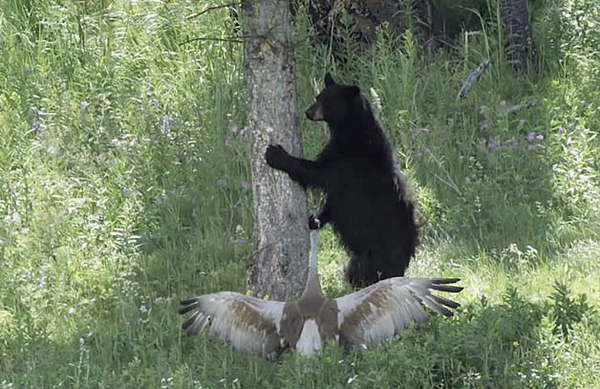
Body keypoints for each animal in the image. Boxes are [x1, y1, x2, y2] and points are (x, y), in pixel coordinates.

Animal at [264, 73, 420, 286]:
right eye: (318, 97)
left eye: (327, 102)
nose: (308, 112)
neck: (352, 130)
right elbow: (331, 202)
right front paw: (314, 219)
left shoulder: (345, 161)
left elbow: (317, 172)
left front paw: (276, 154)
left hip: (375, 250)